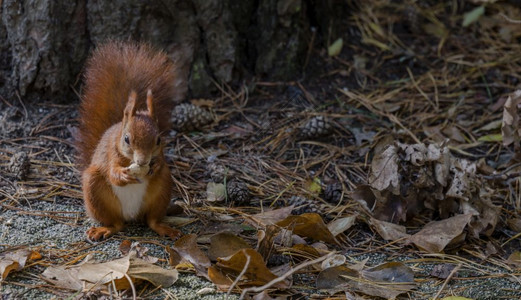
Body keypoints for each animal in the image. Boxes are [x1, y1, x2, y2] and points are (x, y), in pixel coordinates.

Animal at [76, 41, 182, 240]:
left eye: (159, 140)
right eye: (126, 139)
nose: (143, 161)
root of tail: (131, 215)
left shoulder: (161, 154)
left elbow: (161, 162)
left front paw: (155, 166)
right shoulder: (111, 154)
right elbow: (112, 173)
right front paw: (123, 175)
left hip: (162, 190)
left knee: (152, 221)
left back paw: (165, 229)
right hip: (95, 191)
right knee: (116, 224)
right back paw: (103, 229)